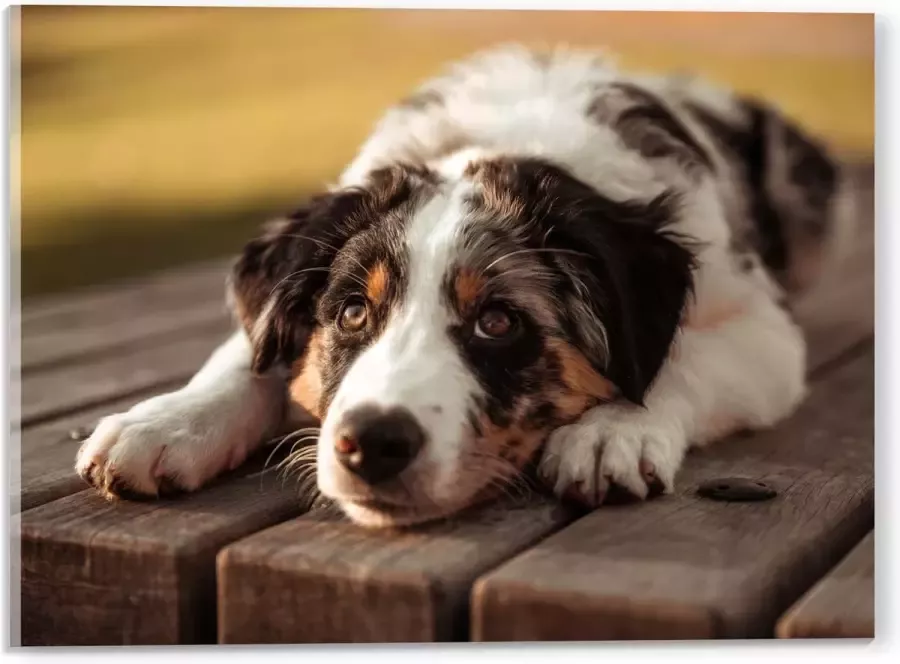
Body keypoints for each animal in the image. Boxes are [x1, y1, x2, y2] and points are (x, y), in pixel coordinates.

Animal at [75, 45, 852, 528]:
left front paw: (613, 431)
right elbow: (246, 353)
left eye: (498, 322)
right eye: (351, 313)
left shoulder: (763, 330)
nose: (371, 444)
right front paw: (165, 423)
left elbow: (680, 358)